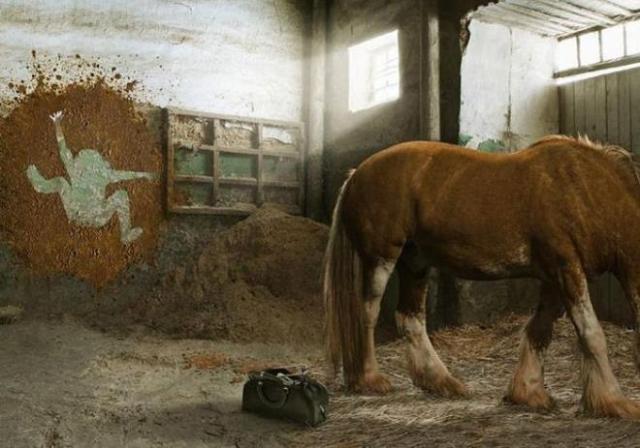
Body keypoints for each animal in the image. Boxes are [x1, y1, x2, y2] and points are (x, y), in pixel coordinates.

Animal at [323, 135, 640, 419]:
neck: (583, 189)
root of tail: (356, 174)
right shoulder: (565, 268)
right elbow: (592, 333)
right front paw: (614, 403)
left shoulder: (554, 278)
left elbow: (539, 331)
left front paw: (528, 393)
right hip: (381, 259)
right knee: (368, 313)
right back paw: (369, 379)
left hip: (415, 263)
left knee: (410, 318)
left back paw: (441, 382)